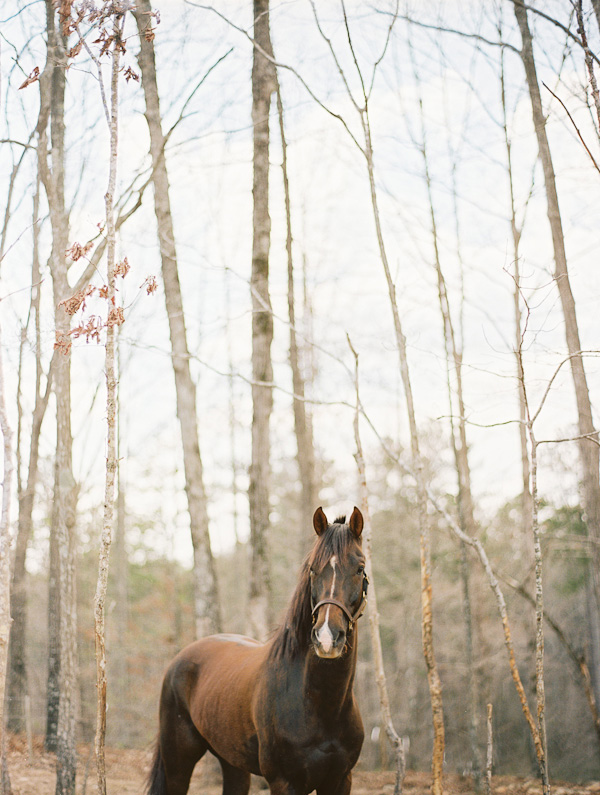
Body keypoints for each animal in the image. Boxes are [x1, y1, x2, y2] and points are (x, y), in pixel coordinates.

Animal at [146, 506, 370, 792]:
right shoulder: (284, 782)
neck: (321, 706)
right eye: (312, 569)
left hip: (232, 763)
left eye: (360, 568)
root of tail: (180, 659)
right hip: (178, 763)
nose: (327, 637)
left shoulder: (340, 780)